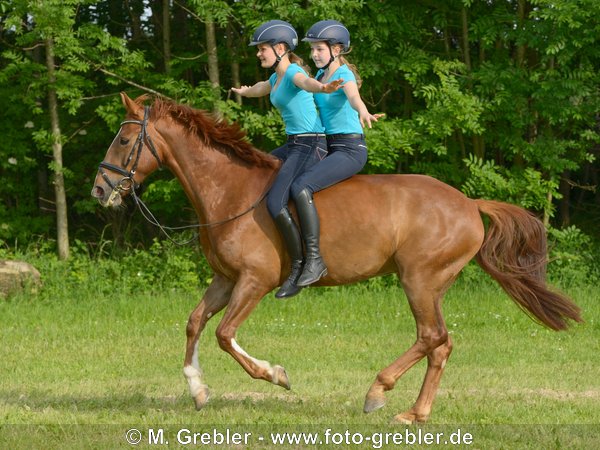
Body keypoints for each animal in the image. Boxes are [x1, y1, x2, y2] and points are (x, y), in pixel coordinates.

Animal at [90, 93, 580, 424]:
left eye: (125, 138)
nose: (99, 190)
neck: (229, 190)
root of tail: (469, 204)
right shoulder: (225, 279)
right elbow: (194, 323)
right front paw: (197, 389)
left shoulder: (255, 281)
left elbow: (225, 335)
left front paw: (276, 375)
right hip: (434, 285)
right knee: (441, 344)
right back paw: (415, 413)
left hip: (419, 279)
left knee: (430, 336)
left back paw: (378, 391)